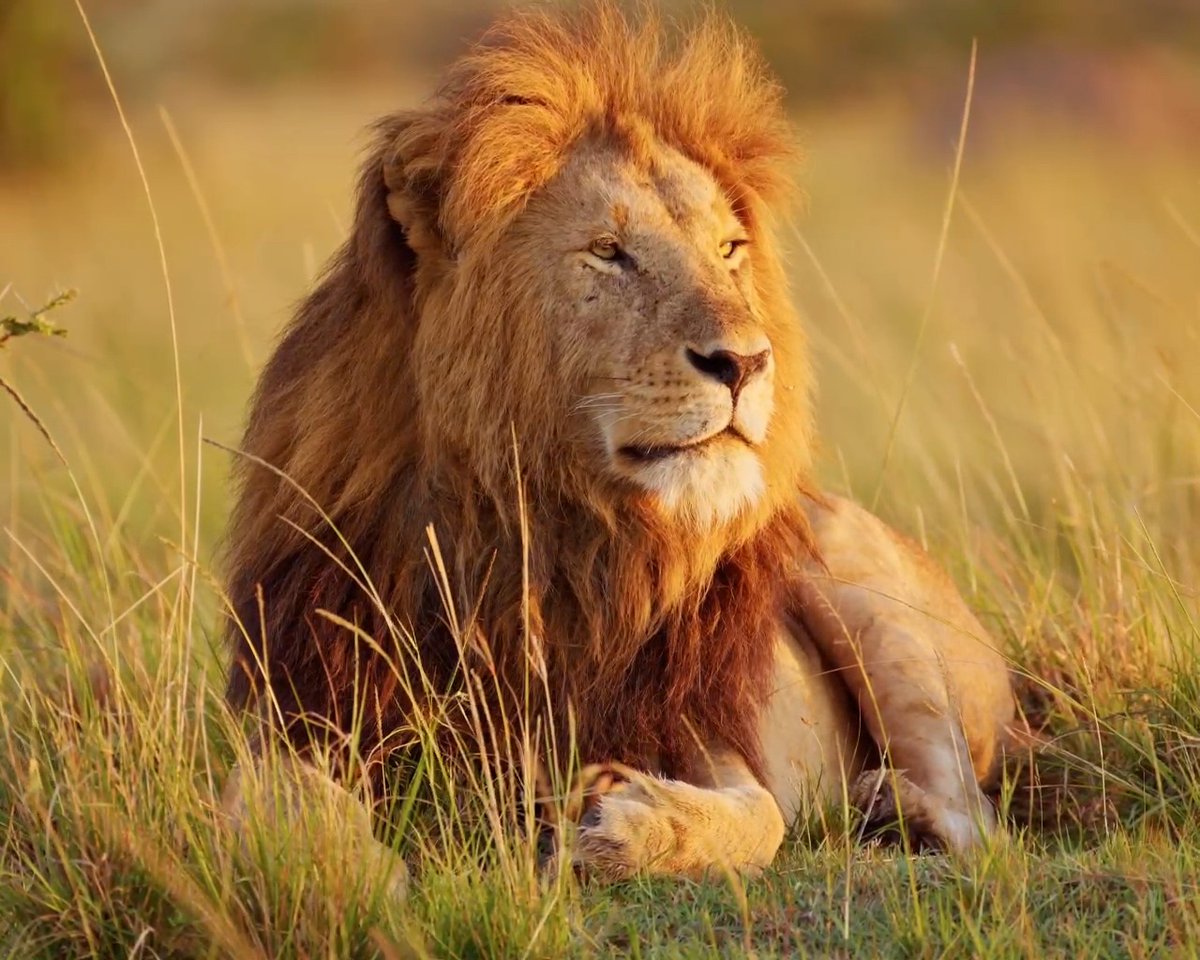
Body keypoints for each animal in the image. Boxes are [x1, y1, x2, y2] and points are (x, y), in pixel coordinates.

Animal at [222, 2, 1015, 886]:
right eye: (608, 252)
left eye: (728, 249)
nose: (747, 362)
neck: (535, 535)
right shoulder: (304, 706)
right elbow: (264, 805)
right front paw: (352, 875)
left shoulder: (703, 731)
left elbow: (760, 818)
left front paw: (623, 823)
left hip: (858, 578)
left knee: (980, 822)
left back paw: (890, 806)